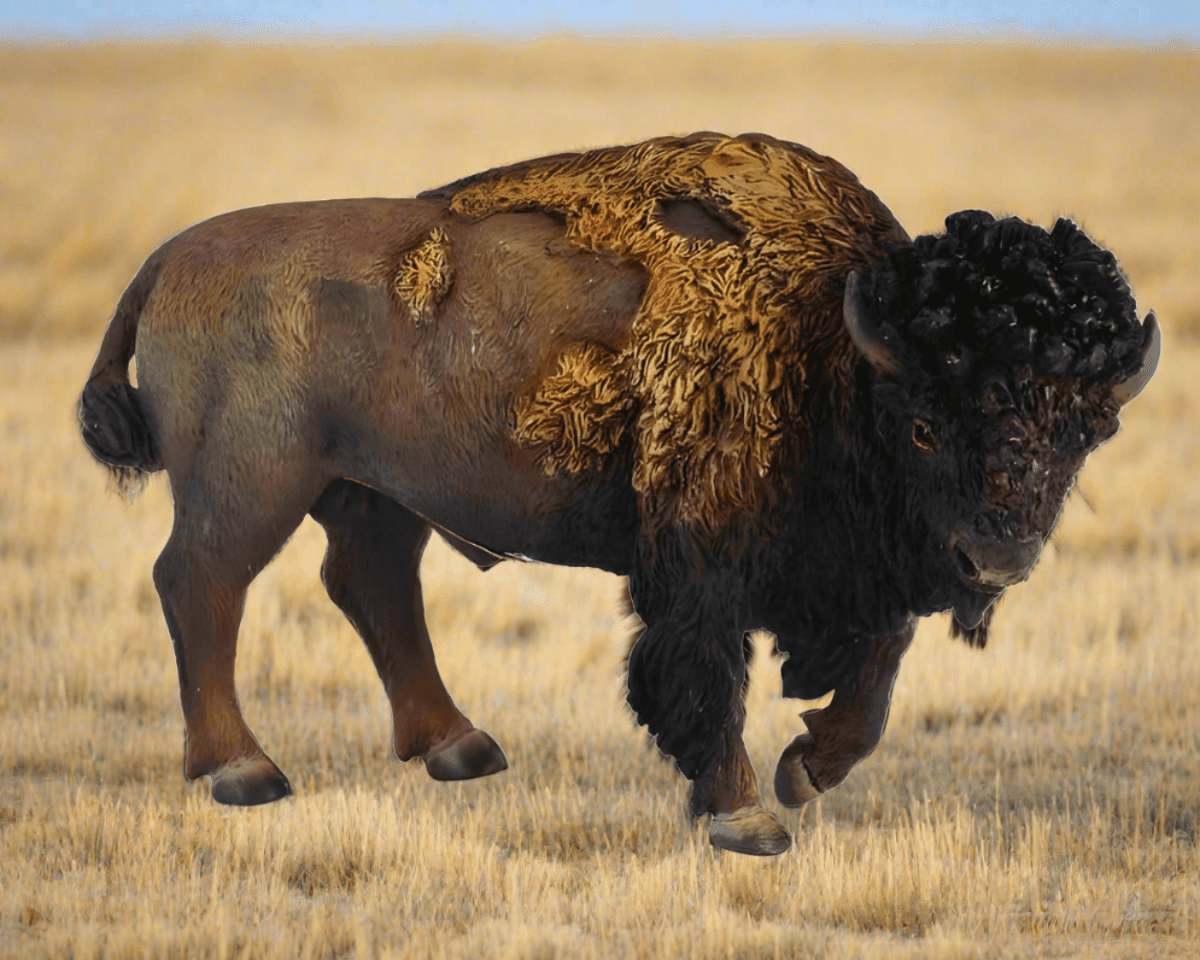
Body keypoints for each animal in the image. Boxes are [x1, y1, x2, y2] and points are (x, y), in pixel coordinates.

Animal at [79, 132, 1160, 856]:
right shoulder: (700, 568)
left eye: (1086, 432)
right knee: (202, 585)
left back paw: (459, 748)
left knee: (372, 587)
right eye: (926, 423)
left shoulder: (863, 573)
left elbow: (877, 673)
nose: (997, 558)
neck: (831, 342)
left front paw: (807, 770)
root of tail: (167, 260)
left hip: (370, 490)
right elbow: (707, 679)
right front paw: (747, 820)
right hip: (252, 484)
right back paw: (245, 772)